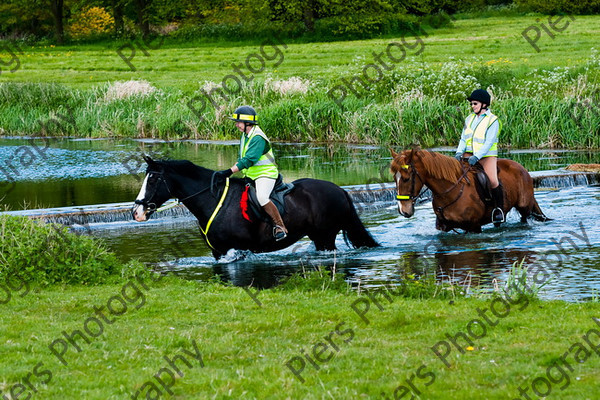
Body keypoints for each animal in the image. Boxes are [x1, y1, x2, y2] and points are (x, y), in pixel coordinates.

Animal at [132, 156, 380, 260]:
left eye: (153, 179)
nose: (136, 212)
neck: (212, 199)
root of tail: (340, 190)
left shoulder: (234, 249)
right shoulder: (218, 252)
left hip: (326, 237)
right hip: (319, 237)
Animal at [392, 148, 552, 233]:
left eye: (406, 178)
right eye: (395, 177)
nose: (404, 211)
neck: (450, 192)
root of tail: (522, 168)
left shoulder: (474, 227)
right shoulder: (444, 228)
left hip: (524, 208)